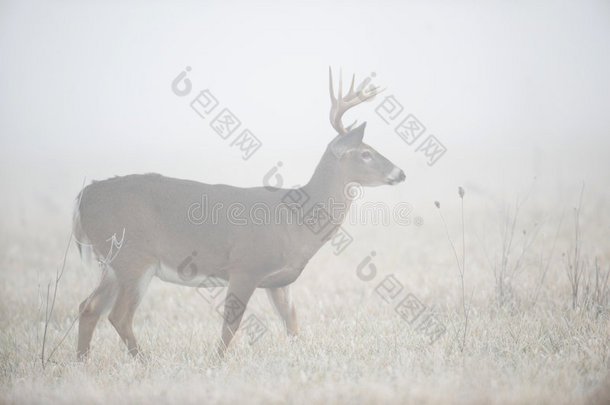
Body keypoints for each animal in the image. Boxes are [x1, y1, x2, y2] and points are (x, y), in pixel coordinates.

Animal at [73, 68, 404, 358]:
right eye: (366, 154)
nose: (400, 173)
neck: (296, 221)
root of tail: (84, 196)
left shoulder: (279, 281)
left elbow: (292, 325)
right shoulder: (245, 266)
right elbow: (230, 326)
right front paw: (216, 363)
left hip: (113, 262)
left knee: (88, 307)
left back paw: (82, 363)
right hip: (134, 256)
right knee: (119, 315)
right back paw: (144, 362)